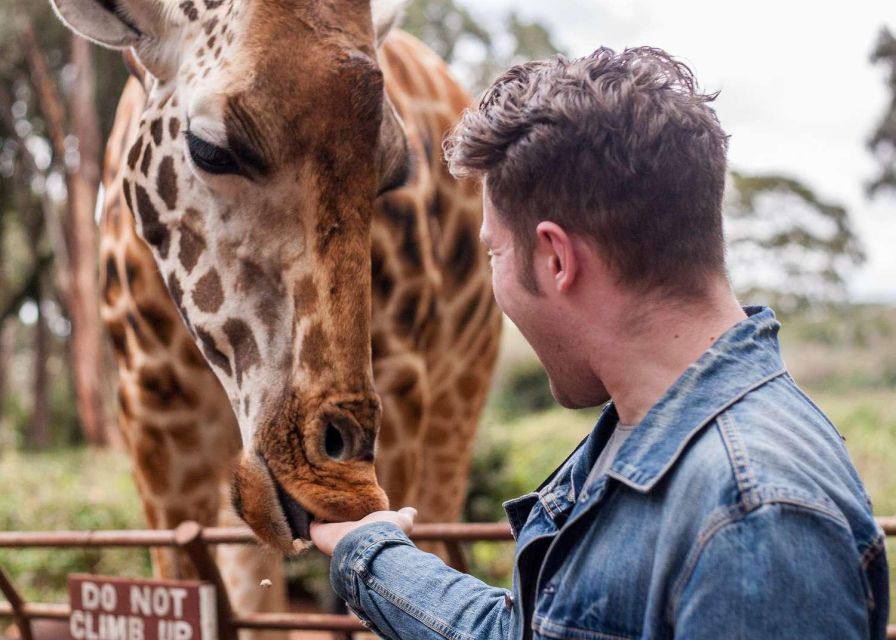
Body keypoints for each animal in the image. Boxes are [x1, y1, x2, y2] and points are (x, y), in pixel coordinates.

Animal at [50, 0, 504, 632]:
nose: (339, 489)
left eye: (393, 172)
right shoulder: (151, 416)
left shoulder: (404, 386)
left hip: (459, 397)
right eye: (211, 148)